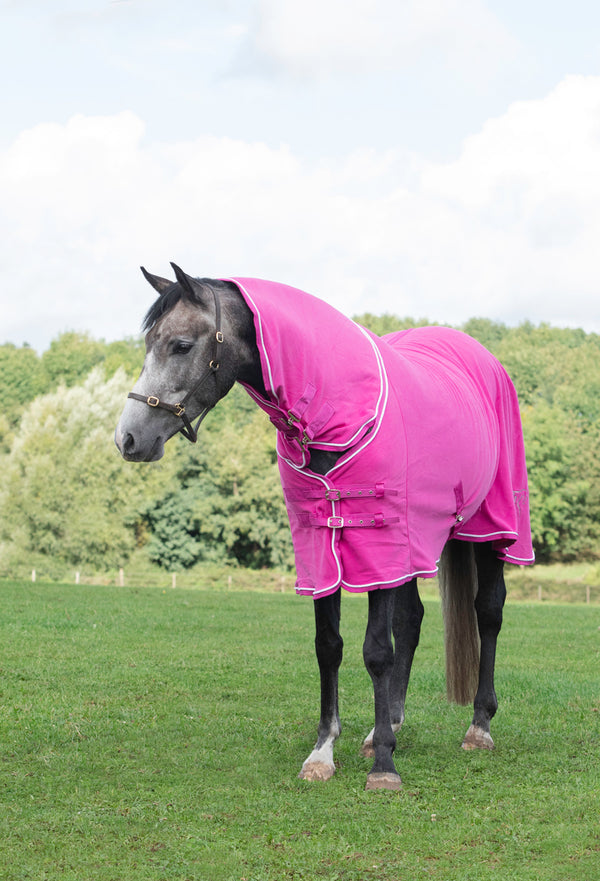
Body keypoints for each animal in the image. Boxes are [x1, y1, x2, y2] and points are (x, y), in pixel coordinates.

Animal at [116, 262, 536, 792]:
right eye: (150, 341)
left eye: (182, 345)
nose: (128, 438)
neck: (341, 415)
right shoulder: (322, 546)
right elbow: (329, 647)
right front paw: (325, 752)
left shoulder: (376, 539)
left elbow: (376, 651)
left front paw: (384, 768)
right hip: (413, 543)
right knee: (412, 621)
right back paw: (387, 725)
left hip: (492, 529)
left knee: (489, 612)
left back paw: (478, 726)